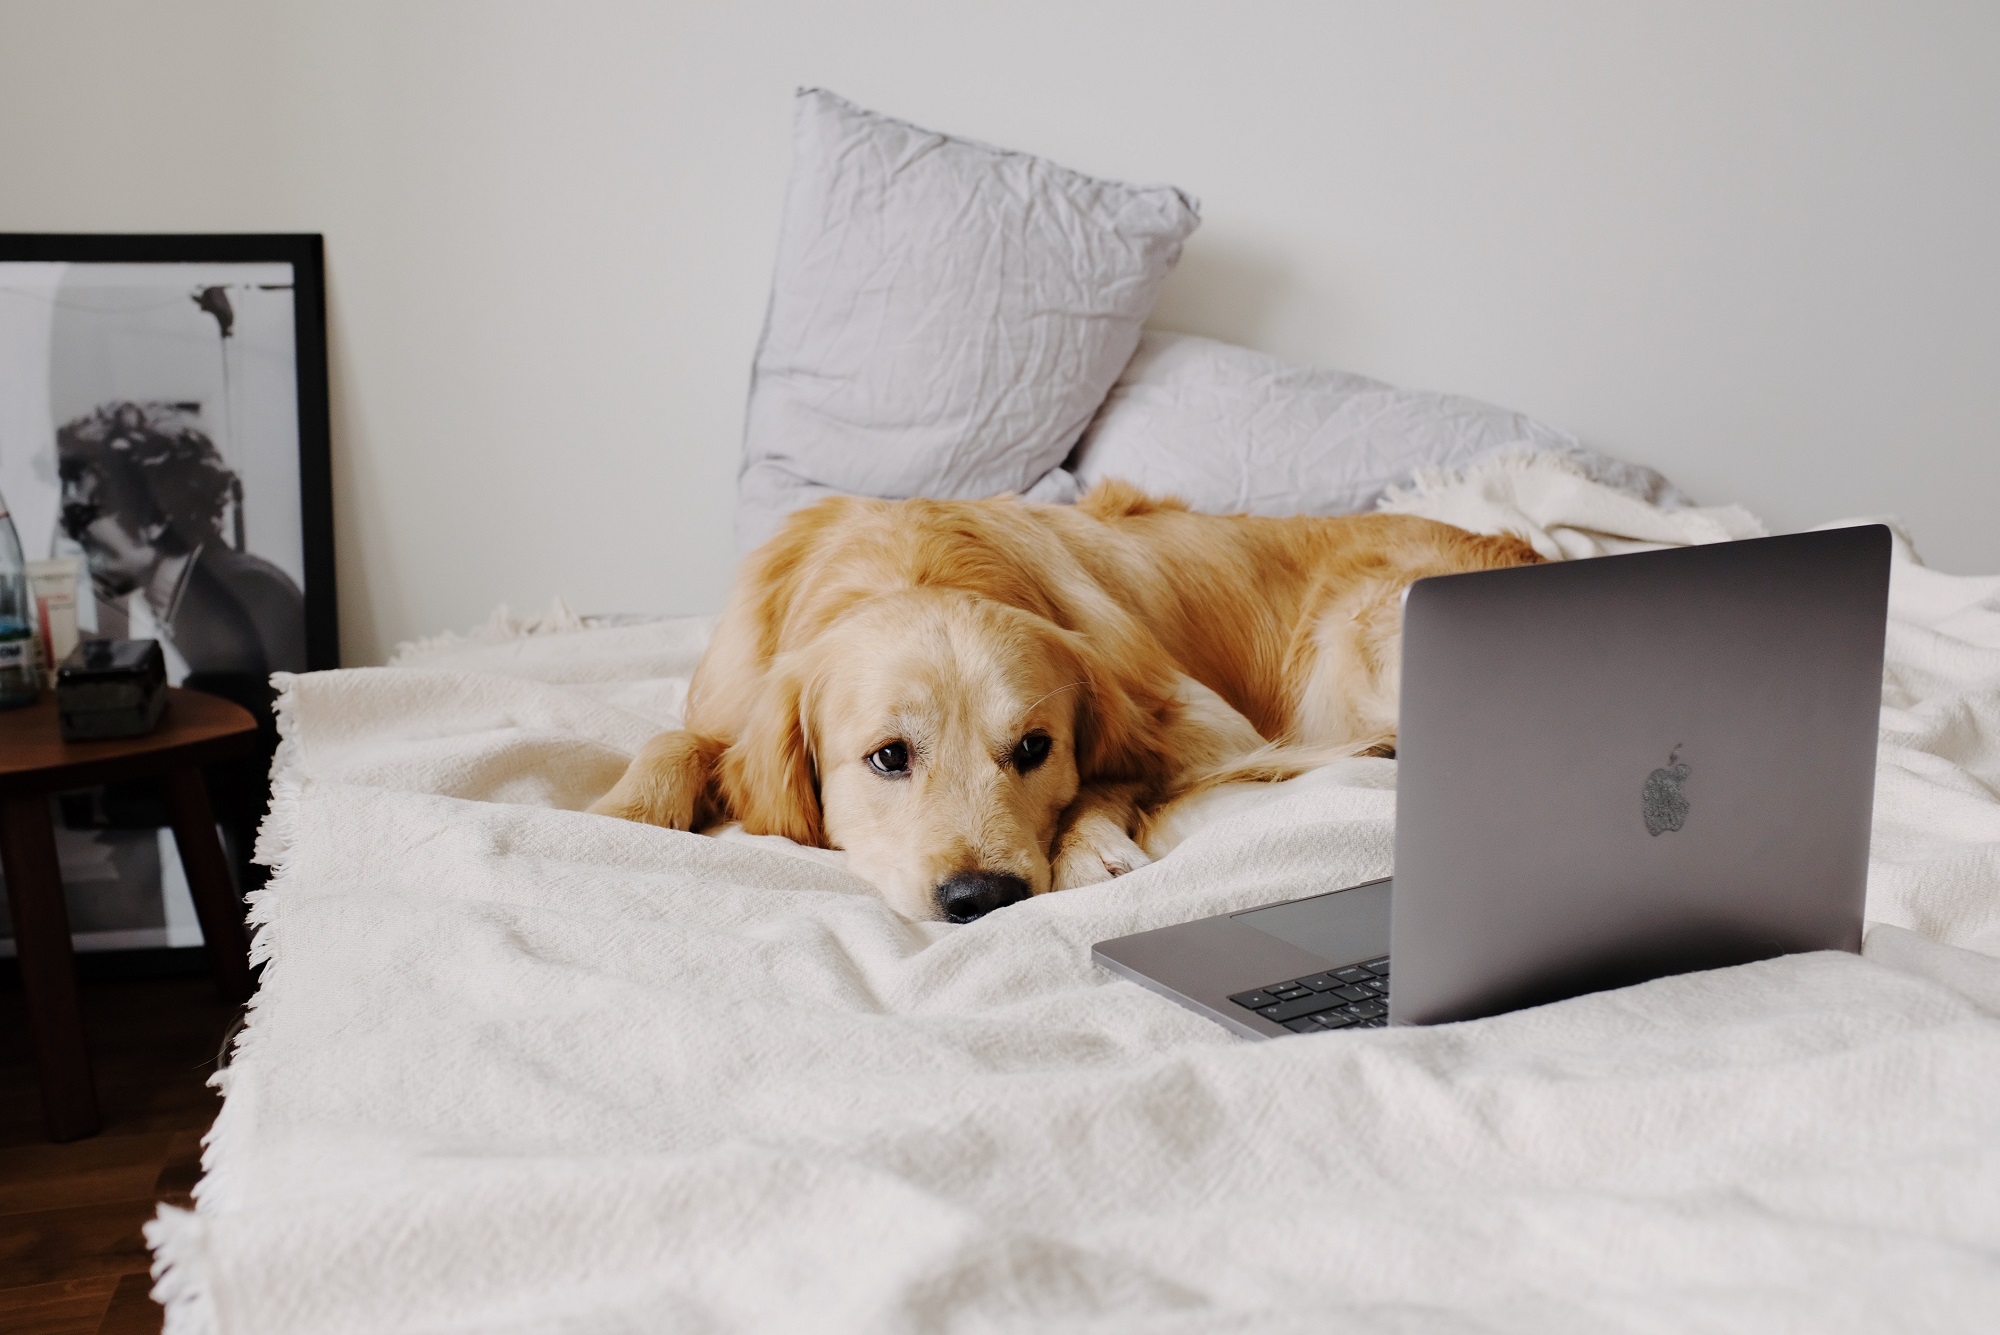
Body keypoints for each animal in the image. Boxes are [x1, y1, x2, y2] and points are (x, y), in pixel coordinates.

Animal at [588, 485, 1528, 923]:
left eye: (1035, 747)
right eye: (890, 756)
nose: (983, 896)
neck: (910, 560)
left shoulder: (1195, 719)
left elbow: (1118, 775)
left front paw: (1090, 845)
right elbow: (677, 740)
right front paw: (630, 811)